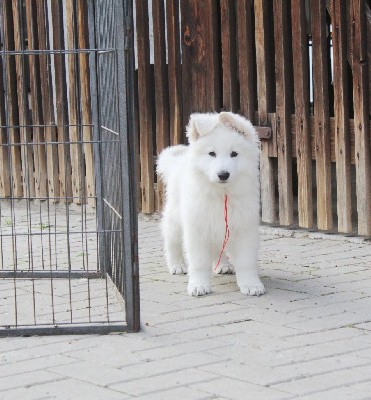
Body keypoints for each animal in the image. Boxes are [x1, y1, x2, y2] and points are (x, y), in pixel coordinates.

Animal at [157, 111, 264, 296]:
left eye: (234, 154)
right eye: (212, 153)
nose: (223, 174)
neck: (221, 193)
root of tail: (179, 160)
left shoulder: (244, 227)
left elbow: (246, 261)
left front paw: (251, 284)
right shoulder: (197, 229)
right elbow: (199, 262)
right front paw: (199, 285)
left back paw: (223, 265)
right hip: (176, 216)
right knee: (172, 239)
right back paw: (177, 265)